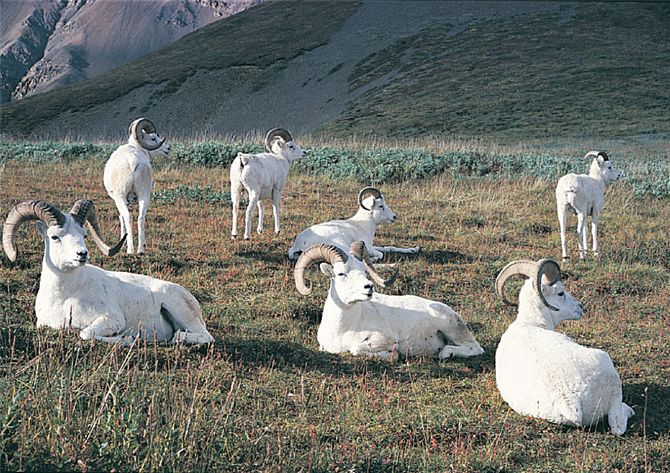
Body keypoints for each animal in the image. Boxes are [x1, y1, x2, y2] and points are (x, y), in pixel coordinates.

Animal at [1, 197, 213, 344]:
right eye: (55, 237)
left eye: (84, 235)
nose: (82, 254)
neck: (63, 297)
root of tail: (190, 298)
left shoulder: (111, 320)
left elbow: (85, 333)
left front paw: (128, 339)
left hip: (181, 312)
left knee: (200, 336)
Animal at [104, 116, 171, 253]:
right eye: (153, 138)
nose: (168, 149)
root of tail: (132, 162)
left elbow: (121, 217)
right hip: (144, 195)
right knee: (141, 217)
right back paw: (141, 249)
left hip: (121, 197)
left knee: (128, 217)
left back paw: (130, 249)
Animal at [288, 187, 420, 262]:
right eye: (381, 206)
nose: (394, 216)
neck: (361, 225)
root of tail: (298, 244)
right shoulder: (368, 247)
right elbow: (381, 254)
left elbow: (389, 248)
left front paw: (415, 249)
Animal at [294, 242, 484, 360]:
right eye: (341, 273)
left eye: (364, 271)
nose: (368, 287)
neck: (342, 328)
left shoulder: (382, 339)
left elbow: (355, 349)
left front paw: (393, 356)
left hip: (453, 330)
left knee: (475, 348)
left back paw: (445, 353)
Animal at [494, 258, 636, 436]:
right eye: (560, 293)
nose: (580, 306)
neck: (531, 323)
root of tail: (570, 402)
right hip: (611, 379)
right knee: (618, 424)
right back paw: (629, 410)